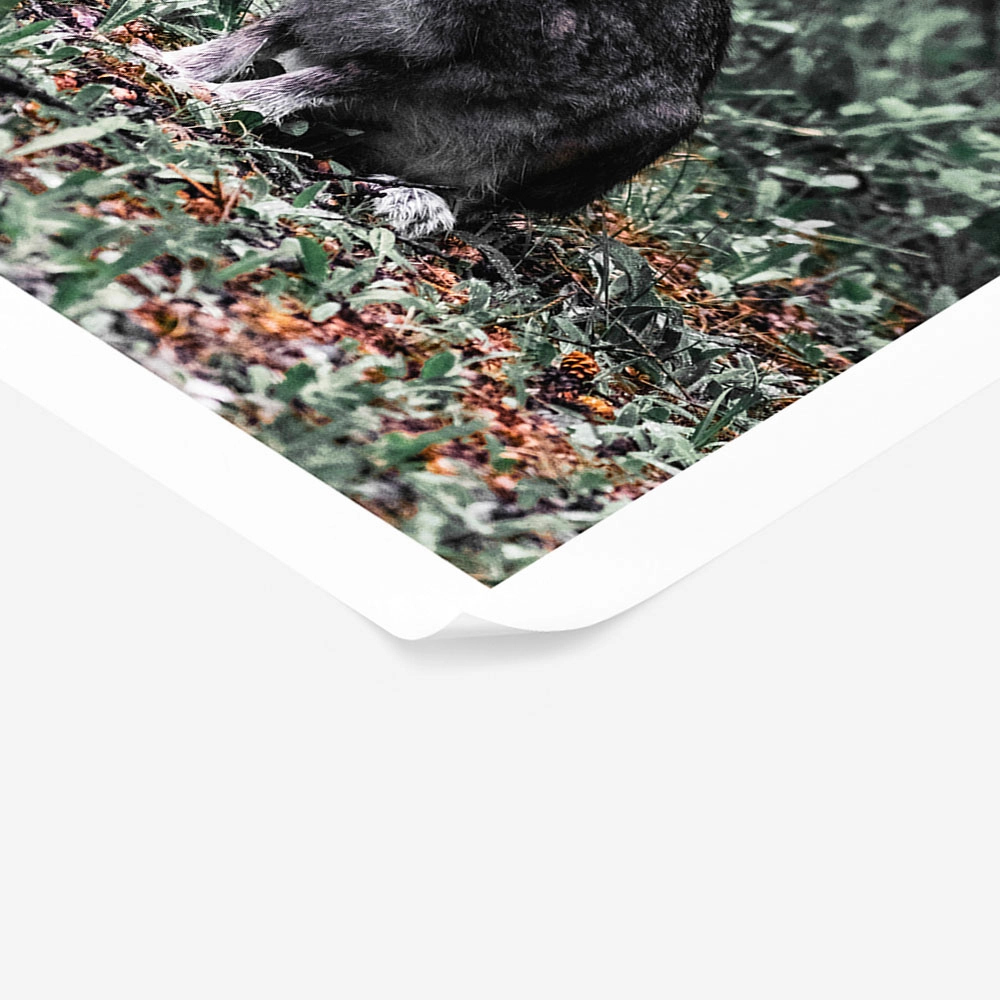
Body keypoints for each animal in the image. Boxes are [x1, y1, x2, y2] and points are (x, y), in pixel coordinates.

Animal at [145, 0, 731, 236]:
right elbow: (262, 32)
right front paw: (166, 63)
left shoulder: (468, 64)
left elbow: (333, 77)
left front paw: (214, 98)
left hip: (640, 132)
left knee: (480, 197)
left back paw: (416, 205)